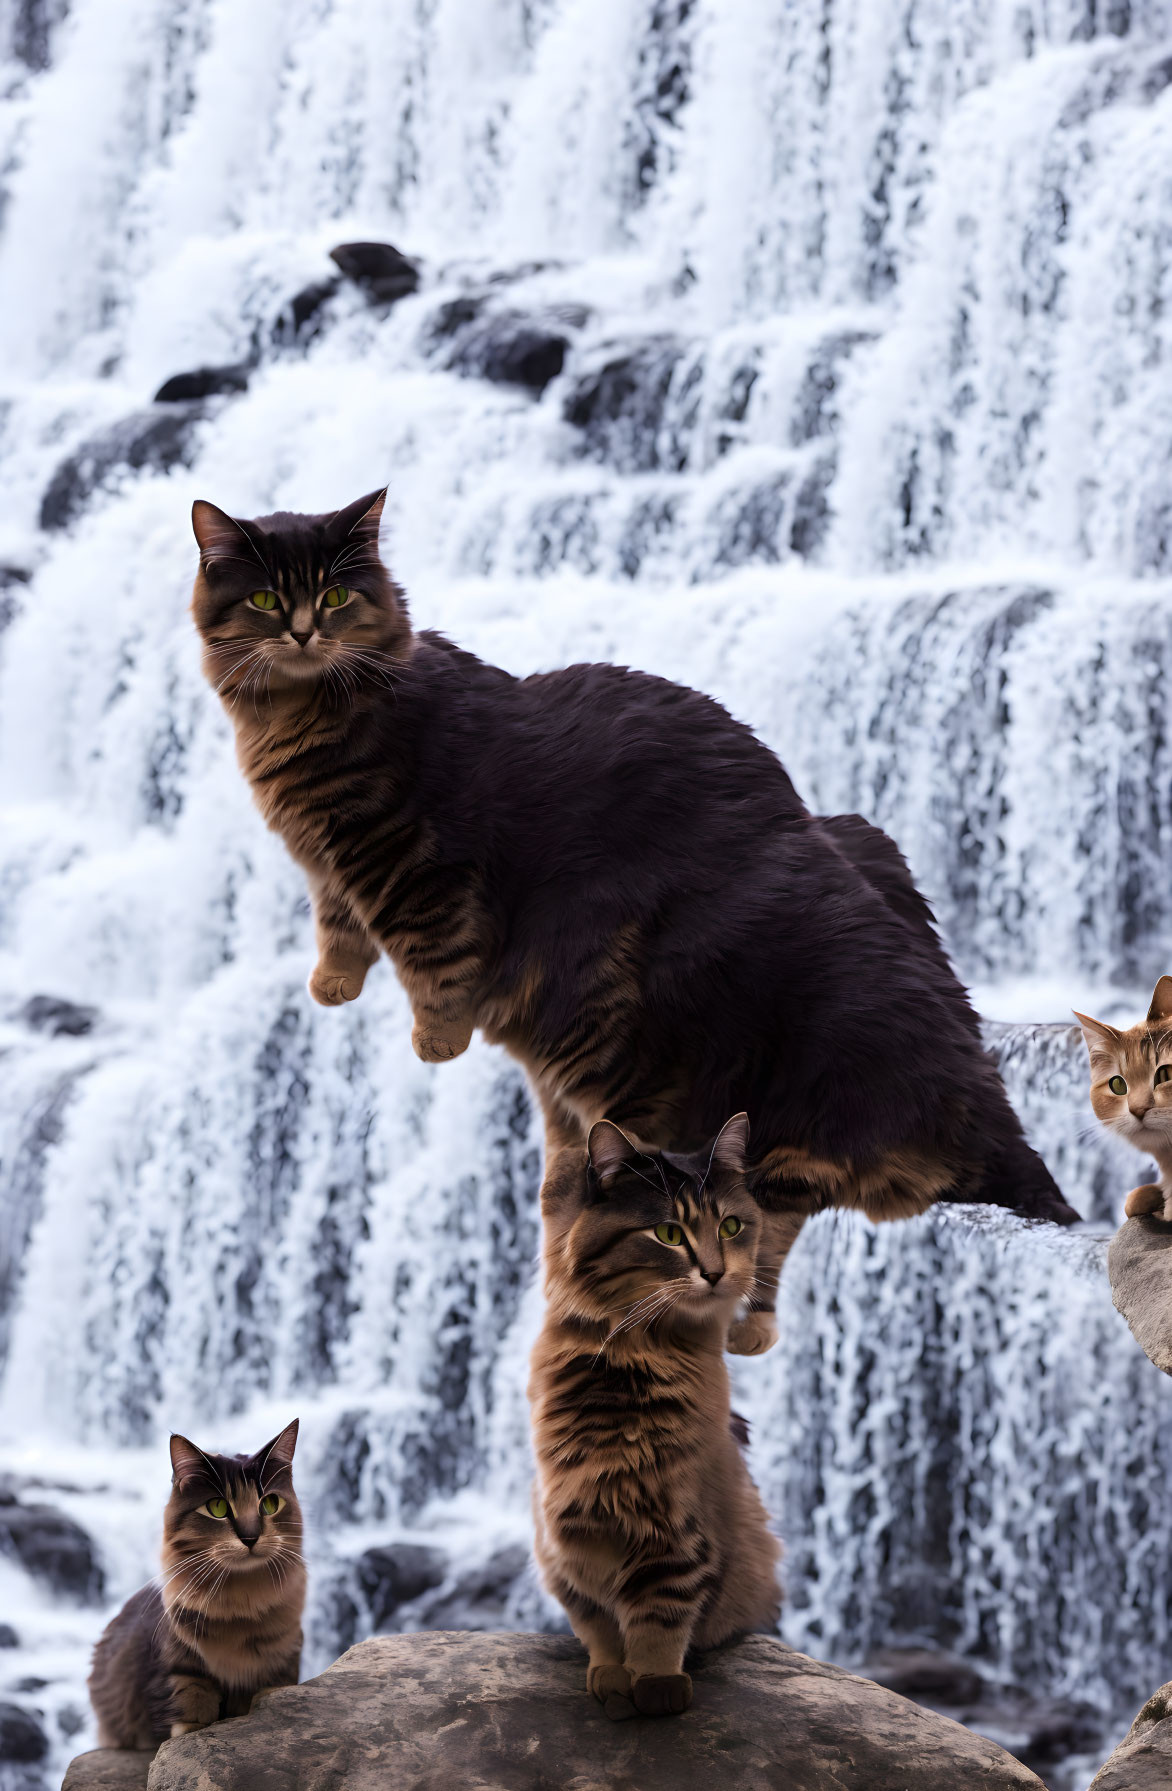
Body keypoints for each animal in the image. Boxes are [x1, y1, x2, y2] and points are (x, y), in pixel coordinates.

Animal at [89, 1418, 304, 1740]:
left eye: (270, 1504)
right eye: (217, 1508)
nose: (250, 1537)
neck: (243, 1602)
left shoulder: (284, 1664)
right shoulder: (177, 1665)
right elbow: (192, 1697)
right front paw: (193, 1730)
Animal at [190, 494, 1082, 1353]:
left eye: (337, 596)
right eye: (265, 598)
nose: (303, 629)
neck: (303, 716)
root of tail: (980, 1095)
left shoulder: (421, 862)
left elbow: (434, 955)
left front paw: (433, 1041)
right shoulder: (332, 870)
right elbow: (339, 925)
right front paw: (333, 987)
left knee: (765, 1208)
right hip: (860, 850)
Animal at [530, 1110, 784, 1712]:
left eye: (731, 1227)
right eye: (668, 1234)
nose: (715, 1273)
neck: (635, 1355)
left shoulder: (674, 1527)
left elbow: (658, 1617)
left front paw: (656, 1687)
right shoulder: (569, 1535)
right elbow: (597, 1621)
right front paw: (609, 1677)